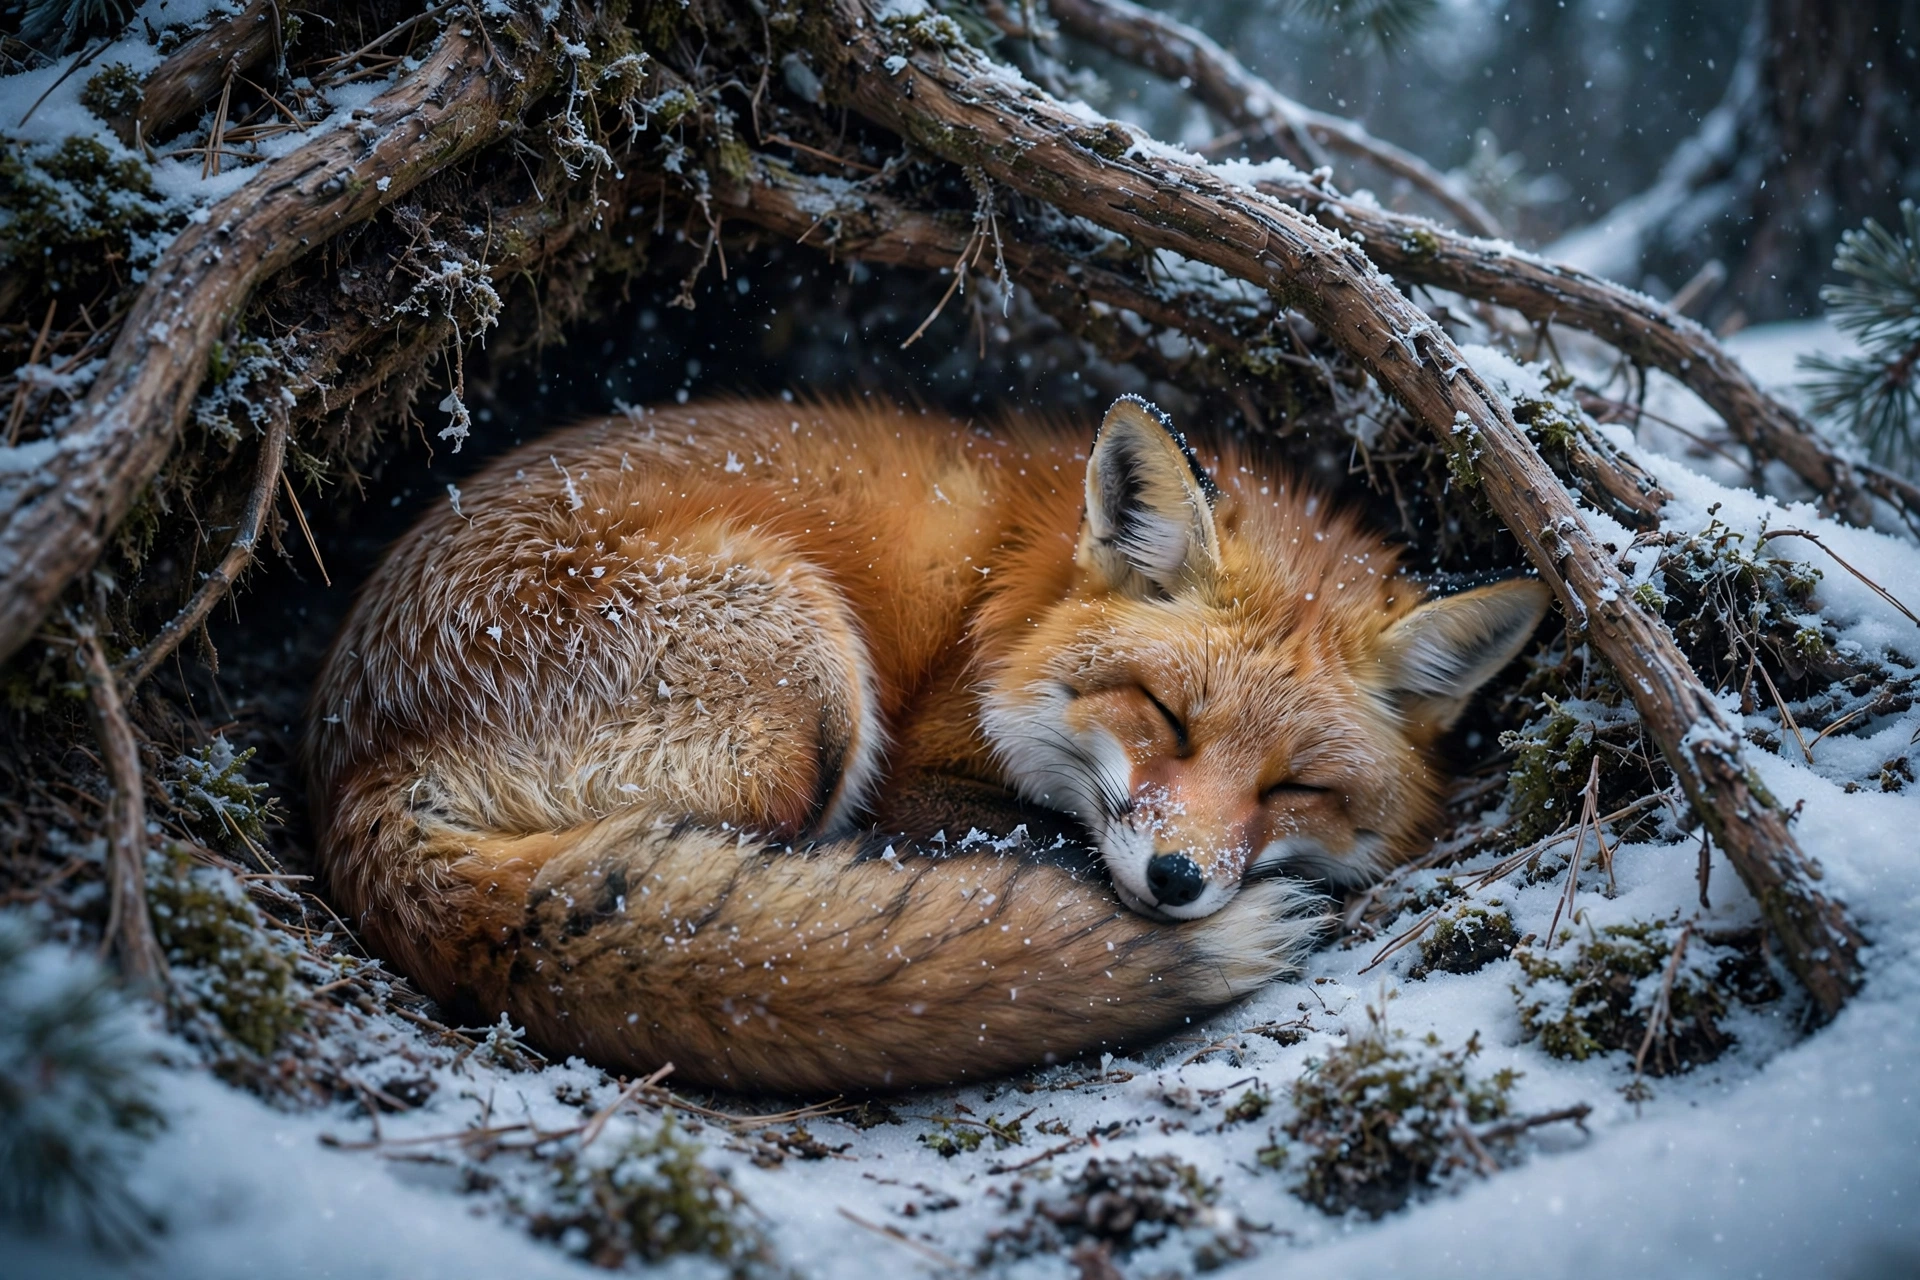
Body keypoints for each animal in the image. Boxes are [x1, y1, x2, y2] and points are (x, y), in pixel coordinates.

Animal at [305, 395, 1548, 1094]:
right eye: (1164, 714)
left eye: (1297, 786)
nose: (1179, 878)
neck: (1015, 589)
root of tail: (355, 761)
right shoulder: (914, 772)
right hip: (810, 694)